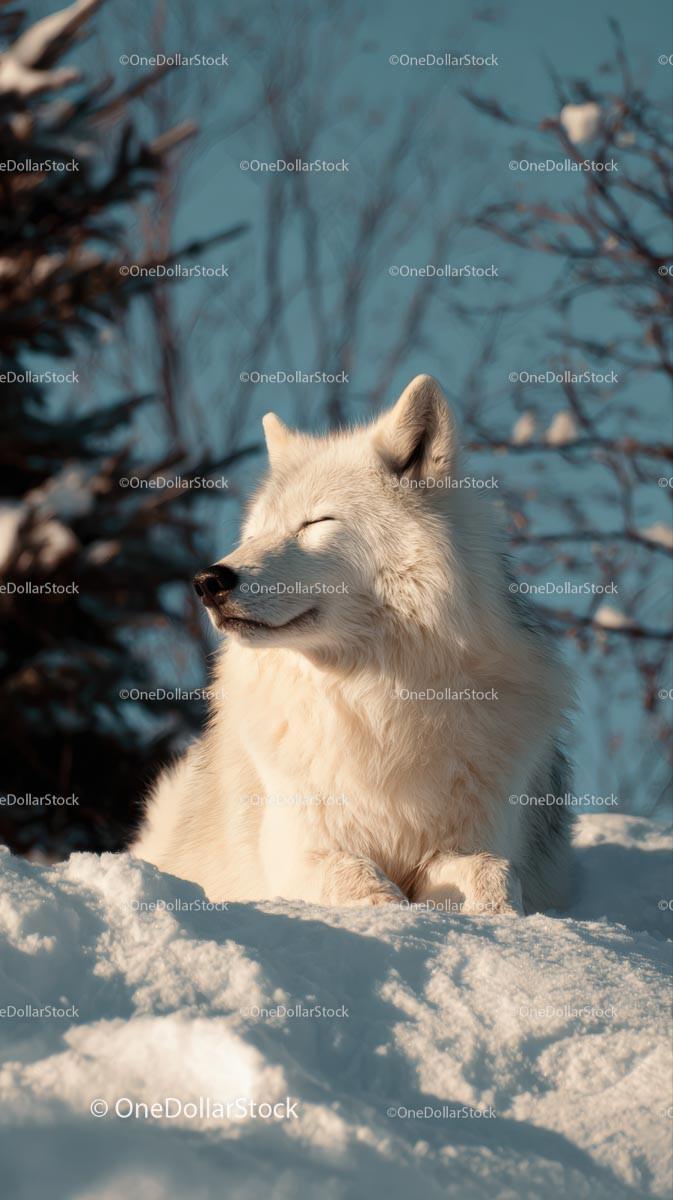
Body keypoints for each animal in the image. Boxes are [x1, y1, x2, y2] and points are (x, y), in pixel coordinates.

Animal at [133, 375, 574, 914]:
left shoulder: (469, 841)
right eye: (254, 534)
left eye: (316, 523)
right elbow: (361, 882)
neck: (375, 696)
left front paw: (500, 916)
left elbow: (494, 873)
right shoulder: (302, 849)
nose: (207, 582)